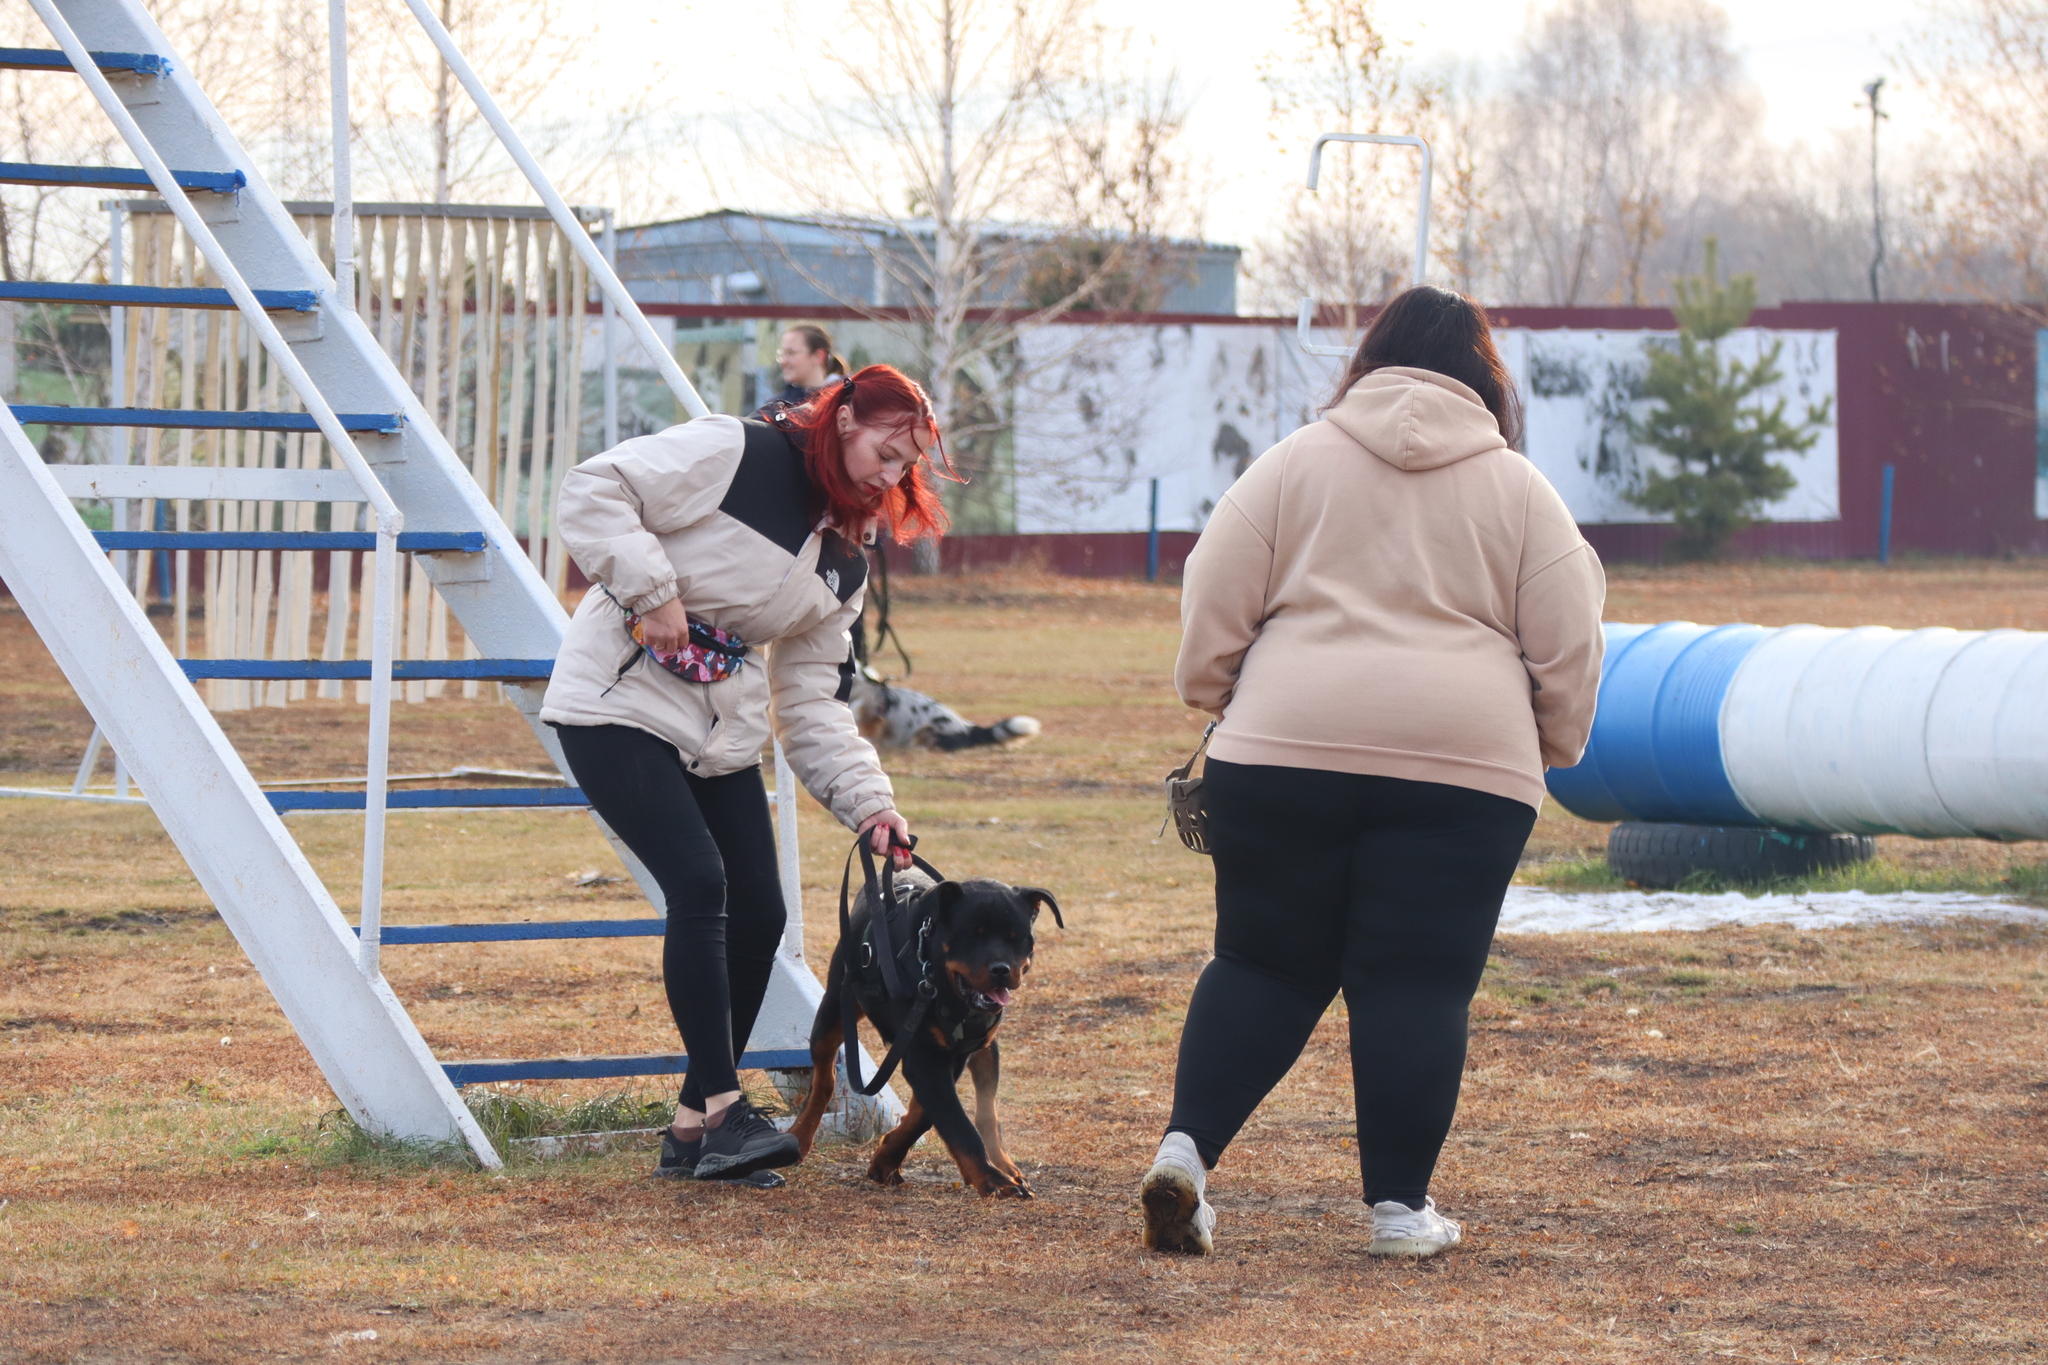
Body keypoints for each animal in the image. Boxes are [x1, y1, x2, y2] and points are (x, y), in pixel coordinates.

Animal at [790, 855, 1064, 1195]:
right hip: (833, 1010)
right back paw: (799, 1137)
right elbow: (956, 1123)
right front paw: (992, 1181)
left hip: (986, 1049)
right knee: (823, 1080)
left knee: (987, 1111)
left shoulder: (953, 1056)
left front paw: (886, 1160)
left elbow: (926, 1116)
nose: (1001, 969)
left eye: (1017, 937)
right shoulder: (925, 1058)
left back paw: (1004, 1162)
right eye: (973, 935)